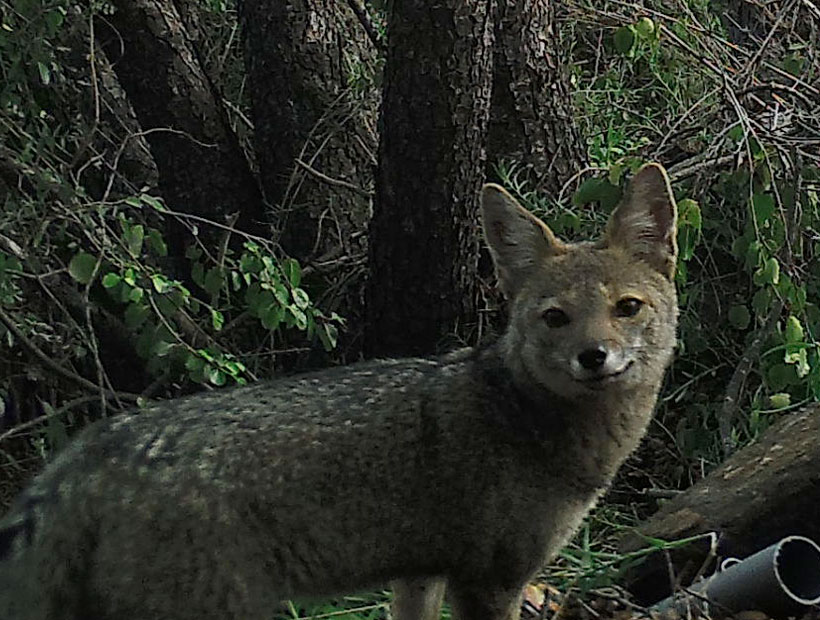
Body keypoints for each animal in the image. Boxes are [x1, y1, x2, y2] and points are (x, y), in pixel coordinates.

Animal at [0, 162, 680, 616]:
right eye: (556, 318)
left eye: (626, 308)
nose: (594, 358)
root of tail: (91, 451)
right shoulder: (491, 581)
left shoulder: (420, 575)